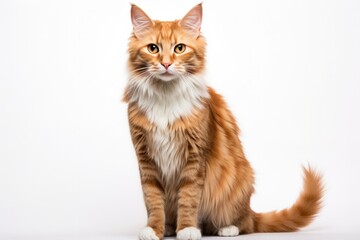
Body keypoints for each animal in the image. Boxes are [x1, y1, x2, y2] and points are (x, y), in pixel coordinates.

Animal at [124, 3, 324, 240]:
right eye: (153, 48)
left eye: (179, 48)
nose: (165, 64)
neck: (165, 96)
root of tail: (250, 210)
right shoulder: (146, 158)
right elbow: (153, 200)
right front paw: (155, 229)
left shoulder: (194, 158)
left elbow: (189, 198)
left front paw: (187, 228)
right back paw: (169, 227)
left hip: (237, 186)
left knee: (244, 224)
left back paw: (227, 228)